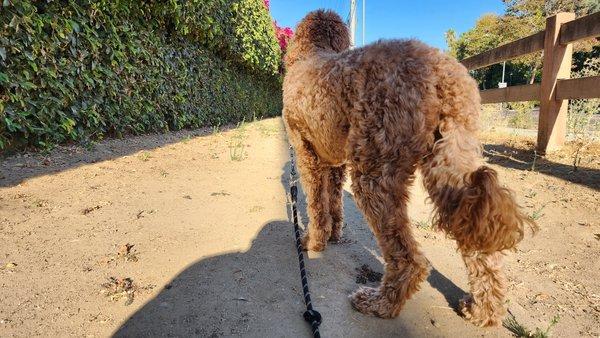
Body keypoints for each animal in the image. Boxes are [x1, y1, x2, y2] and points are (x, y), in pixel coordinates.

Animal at [284, 9, 536, 328]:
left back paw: (380, 303)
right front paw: (334, 234)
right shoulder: (334, 161)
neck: (315, 51)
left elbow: (317, 206)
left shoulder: (307, 154)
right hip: (450, 159)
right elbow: (333, 204)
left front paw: (313, 243)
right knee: (480, 246)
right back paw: (482, 312)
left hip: (375, 171)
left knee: (410, 259)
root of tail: (444, 74)